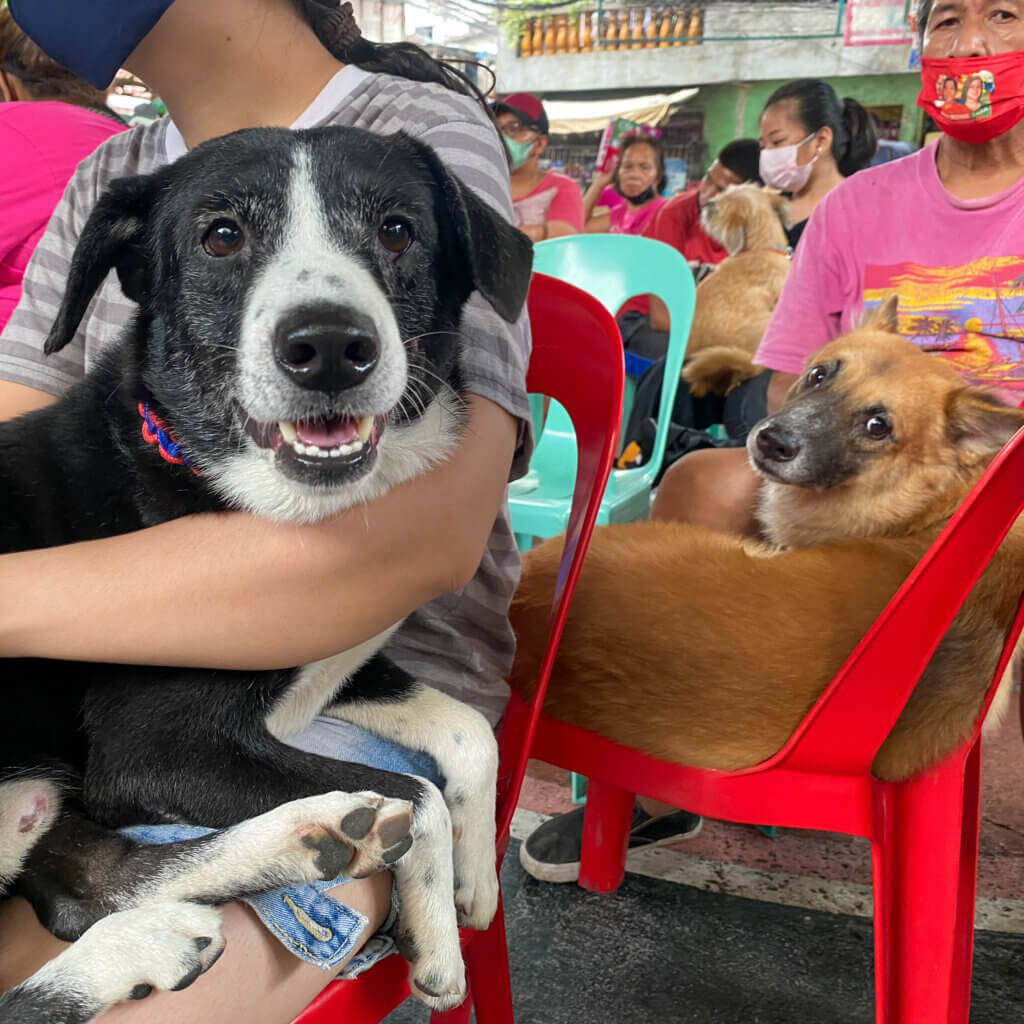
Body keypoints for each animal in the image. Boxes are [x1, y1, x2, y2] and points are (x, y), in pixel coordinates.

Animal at [0, 123, 528, 1019]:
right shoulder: (152, 747)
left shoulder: (335, 668)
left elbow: (468, 728)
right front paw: (436, 933)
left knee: (85, 884)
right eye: (221, 237)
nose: (329, 349)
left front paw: (472, 888)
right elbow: (416, 795)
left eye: (397, 230)